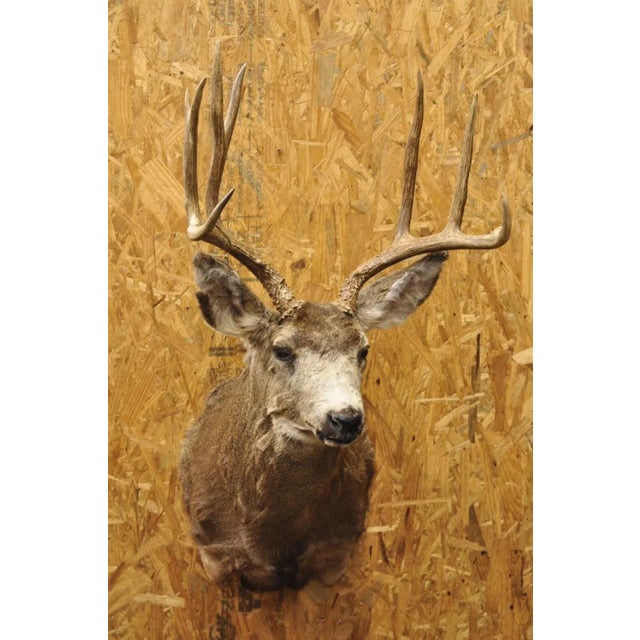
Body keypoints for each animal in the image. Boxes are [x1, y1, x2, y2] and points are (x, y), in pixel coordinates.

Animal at [179, 43, 511, 592]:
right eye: (282, 349)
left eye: (363, 350)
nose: (345, 418)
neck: (271, 540)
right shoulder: (215, 553)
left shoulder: (335, 555)